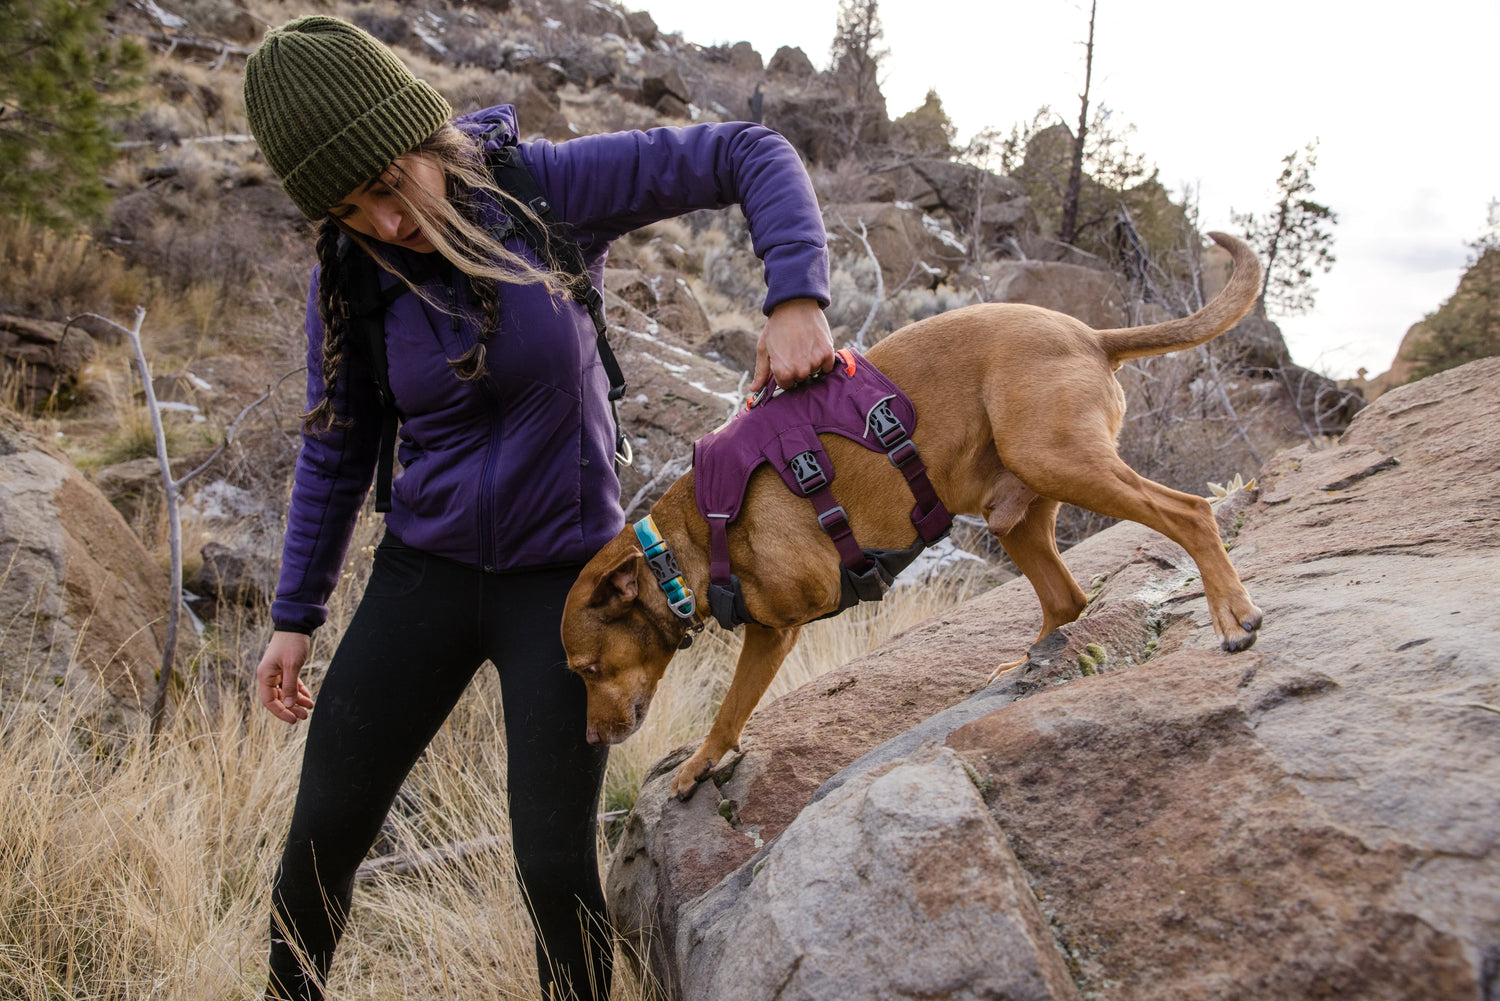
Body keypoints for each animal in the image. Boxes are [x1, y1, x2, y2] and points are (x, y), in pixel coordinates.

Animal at [564, 231, 1266, 792]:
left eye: (589, 669)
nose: (592, 740)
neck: (680, 543)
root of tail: (1090, 335)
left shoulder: (774, 630)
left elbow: (732, 708)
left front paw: (699, 763)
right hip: (1017, 513)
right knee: (1066, 599)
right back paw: (1024, 663)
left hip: (1057, 460)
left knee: (1190, 512)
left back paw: (1232, 616)